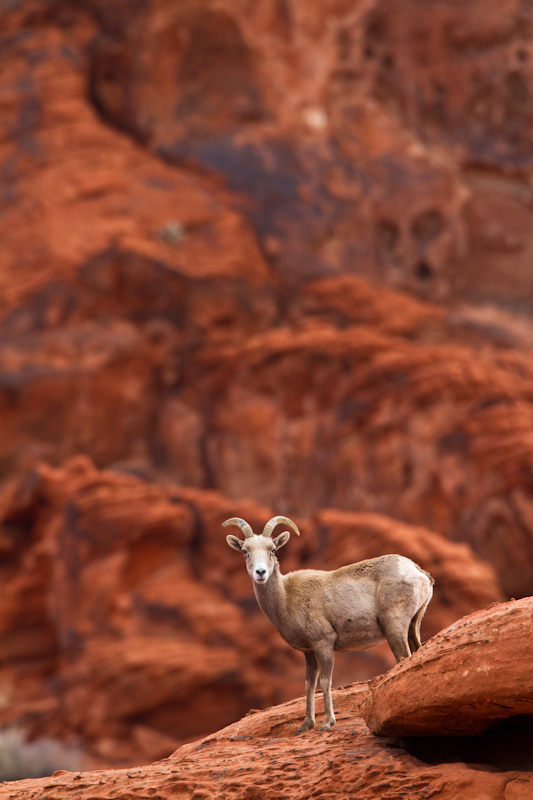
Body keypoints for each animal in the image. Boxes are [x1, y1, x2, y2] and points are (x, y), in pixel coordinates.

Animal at [222, 516, 434, 736]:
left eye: (272, 549)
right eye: (245, 551)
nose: (260, 572)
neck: (286, 597)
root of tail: (419, 573)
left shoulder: (323, 643)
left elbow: (325, 681)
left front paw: (326, 723)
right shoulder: (308, 652)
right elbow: (309, 684)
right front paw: (305, 726)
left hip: (395, 628)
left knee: (403, 658)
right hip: (413, 626)